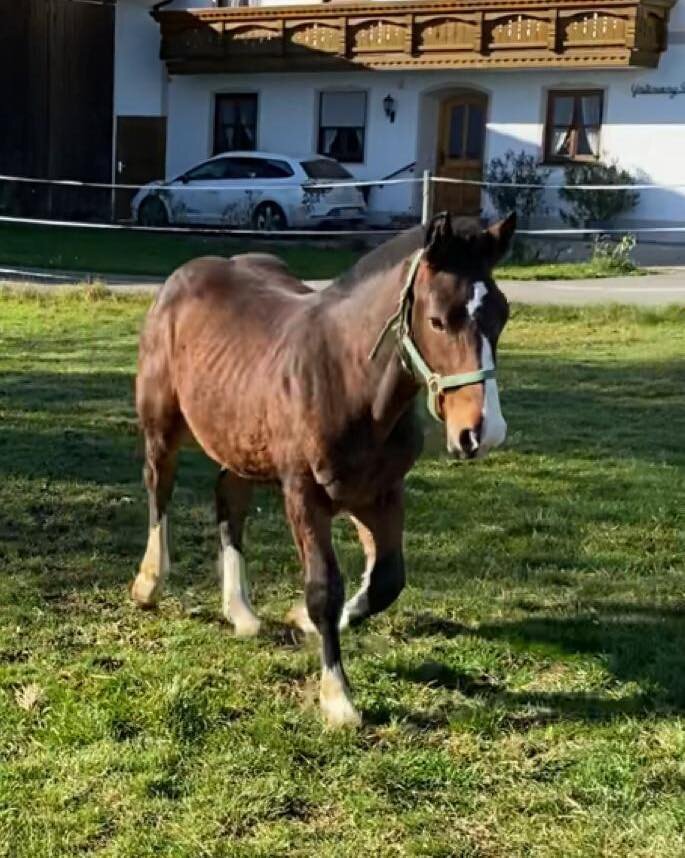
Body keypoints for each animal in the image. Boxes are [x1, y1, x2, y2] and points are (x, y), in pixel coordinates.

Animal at [131, 211, 512, 724]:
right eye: (437, 319)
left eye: (502, 316)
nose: (482, 432)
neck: (347, 380)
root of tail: (181, 277)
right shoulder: (304, 494)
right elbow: (323, 589)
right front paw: (338, 699)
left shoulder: (381, 491)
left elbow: (387, 579)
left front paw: (303, 621)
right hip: (162, 427)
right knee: (160, 487)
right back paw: (149, 584)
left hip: (240, 438)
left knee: (229, 499)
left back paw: (242, 613)